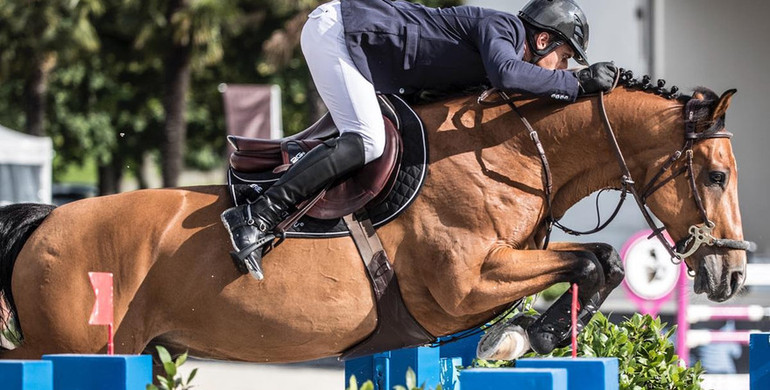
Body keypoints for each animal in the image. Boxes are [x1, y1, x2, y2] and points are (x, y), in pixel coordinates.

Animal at [0, 76, 744, 362]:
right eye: (714, 175)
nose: (733, 274)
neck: (507, 151)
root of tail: (45, 223)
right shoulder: (463, 284)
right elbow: (593, 259)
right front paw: (516, 339)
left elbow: (599, 264)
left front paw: (524, 337)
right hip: (71, 349)